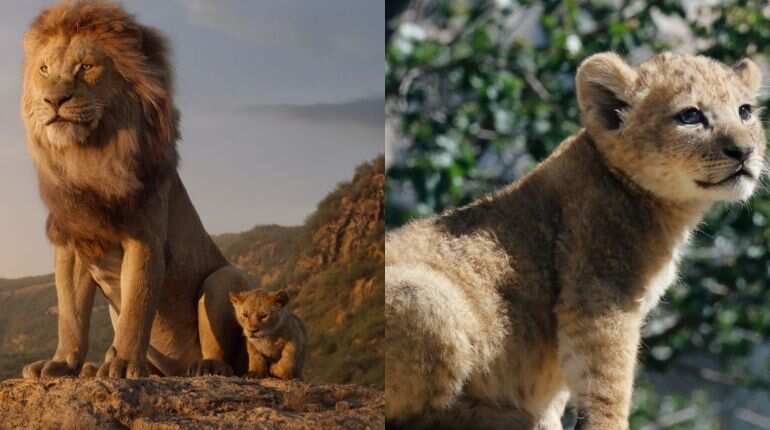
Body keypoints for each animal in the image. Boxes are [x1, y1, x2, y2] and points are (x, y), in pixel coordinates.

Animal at [20, 0, 254, 379]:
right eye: (44, 69)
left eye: (86, 67)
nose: (53, 100)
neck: (88, 157)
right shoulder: (72, 244)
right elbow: (70, 316)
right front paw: (62, 363)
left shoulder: (144, 239)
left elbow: (136, 307)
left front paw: (123, 364)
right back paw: (95, 368)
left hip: (223, 278)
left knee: (226, 354)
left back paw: (205, 366)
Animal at [385, 52, 766, 429]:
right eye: (690, 115)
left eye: (745, 111)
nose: (745, 151)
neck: (668, 213)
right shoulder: (598, 293)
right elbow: (607, 379)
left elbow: (563, 391)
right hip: (427, 296)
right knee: (418, 413)